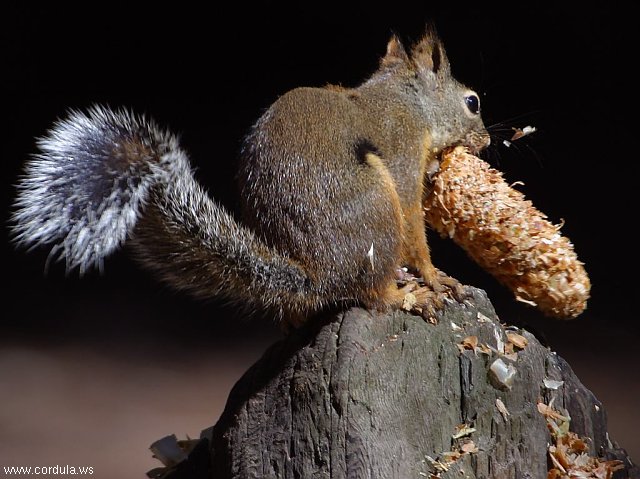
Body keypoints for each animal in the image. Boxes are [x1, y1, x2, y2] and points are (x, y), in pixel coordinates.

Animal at [11, 28, 490, 328]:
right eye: (473, 102)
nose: (486, 140)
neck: (406, 99)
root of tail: (320, 276)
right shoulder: (402, 150)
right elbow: (414, 223)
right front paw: (435, 277)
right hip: (375, 209)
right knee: (373, 293)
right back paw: (407, 294)